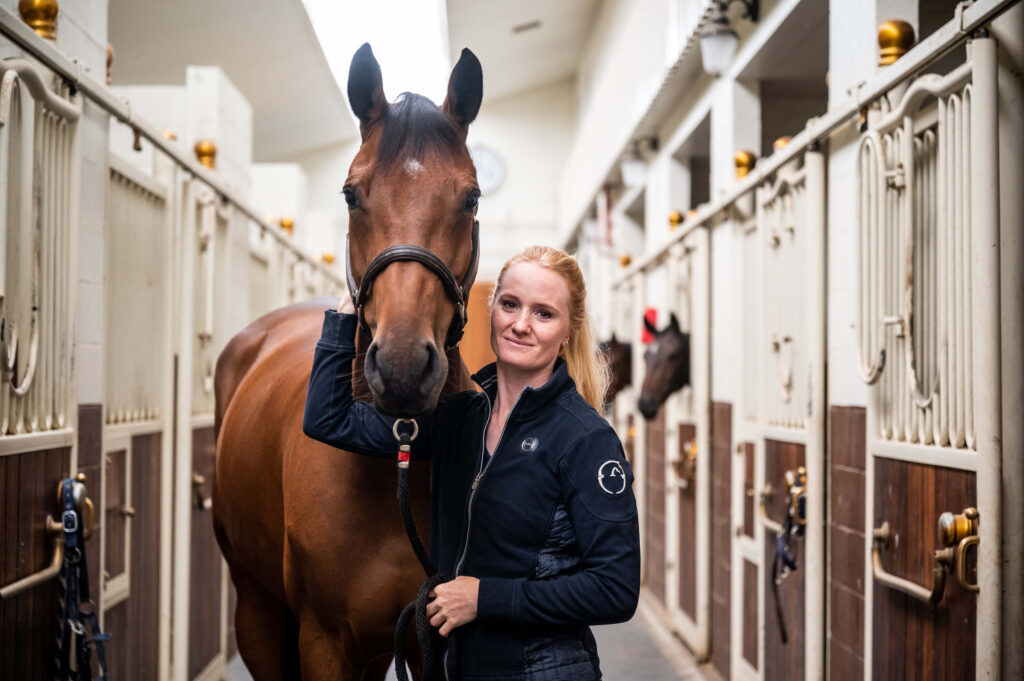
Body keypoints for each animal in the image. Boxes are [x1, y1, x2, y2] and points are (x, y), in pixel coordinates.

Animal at [211, 43, 483, 679]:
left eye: (471, 197)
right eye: (350, 194)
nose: (404, 368)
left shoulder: (426, 641)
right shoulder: (325, 641)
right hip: (256, 609)